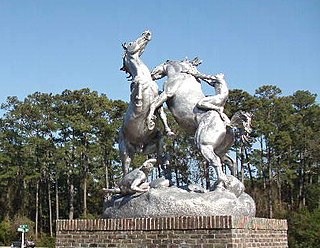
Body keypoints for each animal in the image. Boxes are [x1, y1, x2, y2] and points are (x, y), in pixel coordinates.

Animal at [119, 30, 172, 174]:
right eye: (131, 43)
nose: (146, 33)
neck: (144, 76)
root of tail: (139, 146)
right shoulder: (136, 87)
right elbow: (137, 88)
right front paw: (139, 103)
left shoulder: (158, 99)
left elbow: (161, 113)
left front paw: (163, 128)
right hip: (125, 151)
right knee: (125, 168)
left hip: (151, 145)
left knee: (159, 153)